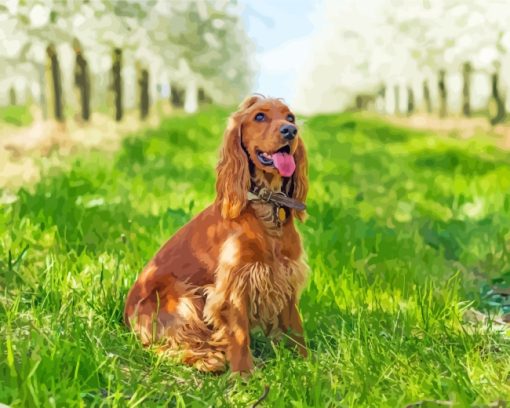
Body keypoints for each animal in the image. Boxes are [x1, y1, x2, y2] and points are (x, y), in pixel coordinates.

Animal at [124, 95, 308, 372]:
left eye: (290, 117)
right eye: (259, 116)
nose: (290, 131)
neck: (265, 206)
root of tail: (125, 315)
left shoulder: (286, 274)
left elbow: (296, 328)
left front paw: (310, 364)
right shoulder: (235, 283)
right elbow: (239, 334)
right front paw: (244, 375)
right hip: (179, 296)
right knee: (163, 347)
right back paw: (209, 359)